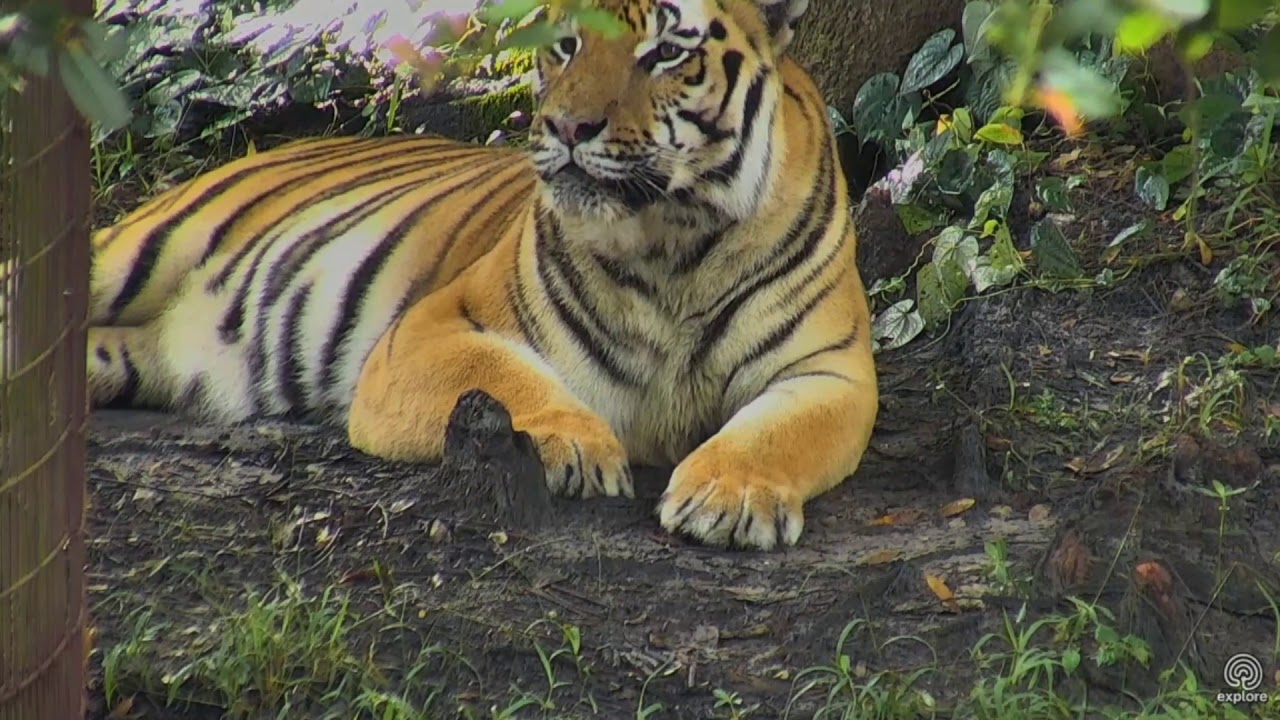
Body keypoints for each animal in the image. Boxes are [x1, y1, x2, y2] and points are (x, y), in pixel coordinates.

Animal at [62, 0, 879, 550]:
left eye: (665, 54)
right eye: (567, 45)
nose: (568, 127)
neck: (672, 243)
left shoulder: (830, 370)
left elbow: (779, 432)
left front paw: (726, 495)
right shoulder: (430, 329)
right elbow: (506, 378)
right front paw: (575, 447)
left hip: (130, 353)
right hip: (131, 252)